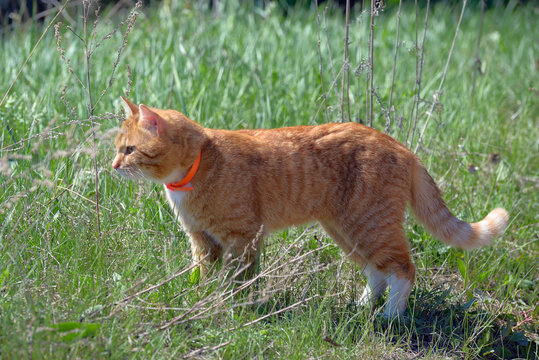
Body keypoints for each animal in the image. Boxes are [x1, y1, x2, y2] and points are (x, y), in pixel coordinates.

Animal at [112, 97, 508, 318]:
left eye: (129, 150)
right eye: (118, 148)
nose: (113, 166)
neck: (197, 167)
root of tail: (398, 144)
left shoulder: (242, 237)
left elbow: (239, 279)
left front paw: (231, 306)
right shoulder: (202, 240)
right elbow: (202, 275)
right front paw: (199, 299)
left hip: (369, 225)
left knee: (403, 270)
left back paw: (391, 316)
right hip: (347, 230)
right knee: (377, 271)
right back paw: (362, 307)